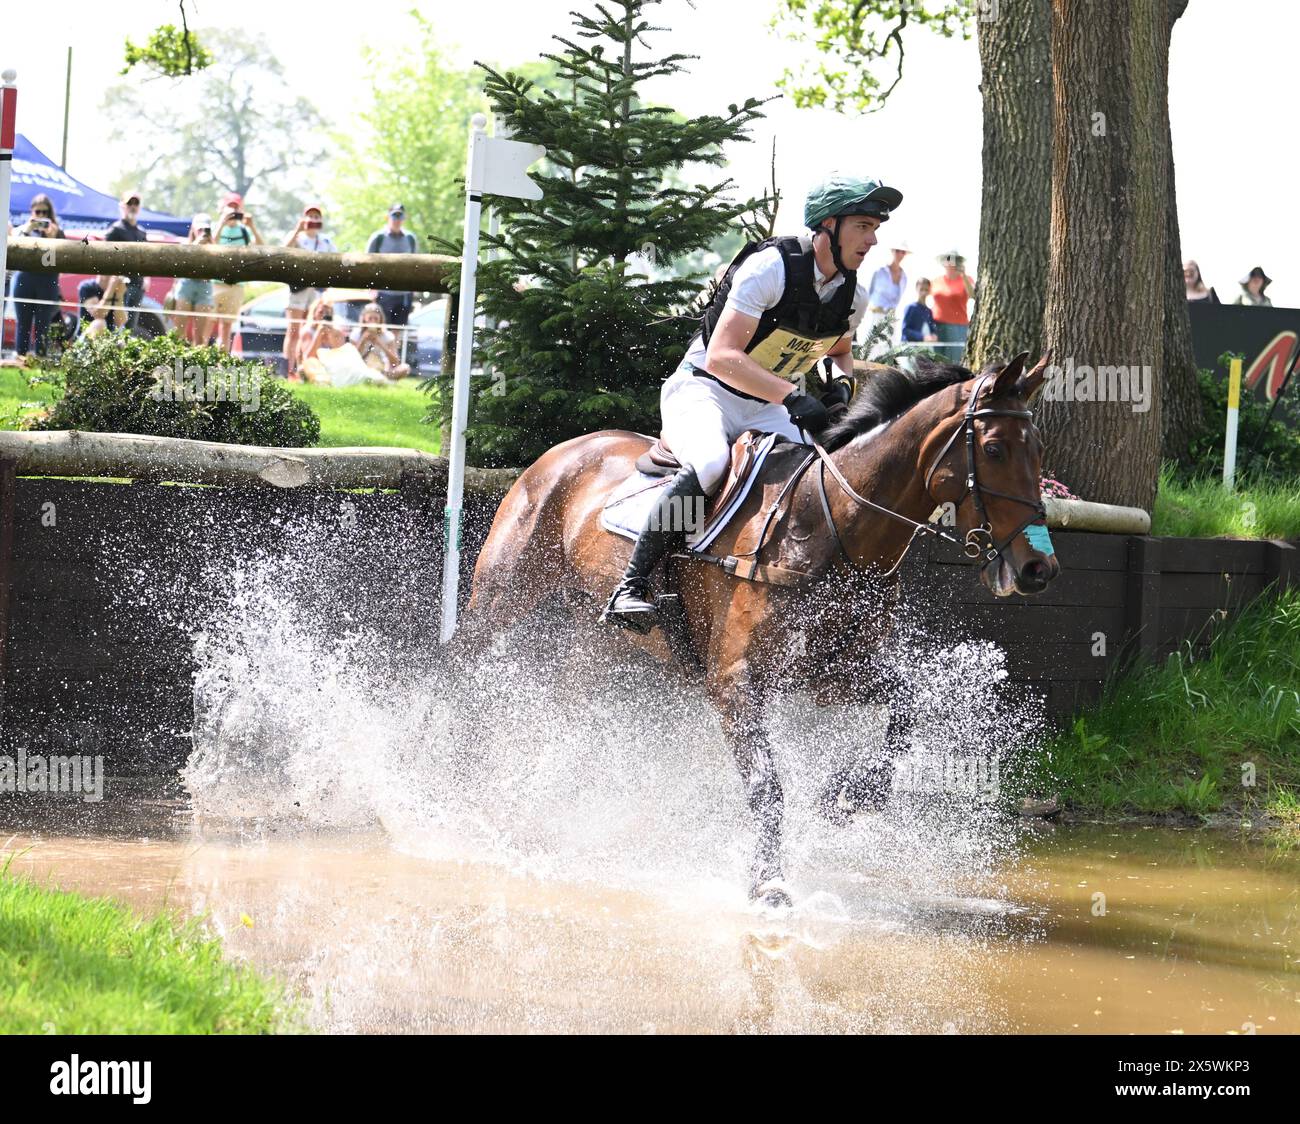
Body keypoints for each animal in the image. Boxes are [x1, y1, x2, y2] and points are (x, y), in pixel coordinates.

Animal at [462, 350, 1060, 904]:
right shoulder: (734, 680)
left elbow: (907, 712)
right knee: (466, 680)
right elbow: (766, 784)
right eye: (994, 449)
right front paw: (768, 882)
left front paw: (848, 797)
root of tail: (564, 450)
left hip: (600, 641)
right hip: (501, 599)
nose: (1039, 569)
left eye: (1039, 450)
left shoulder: (834, 674)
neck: (833, 527)